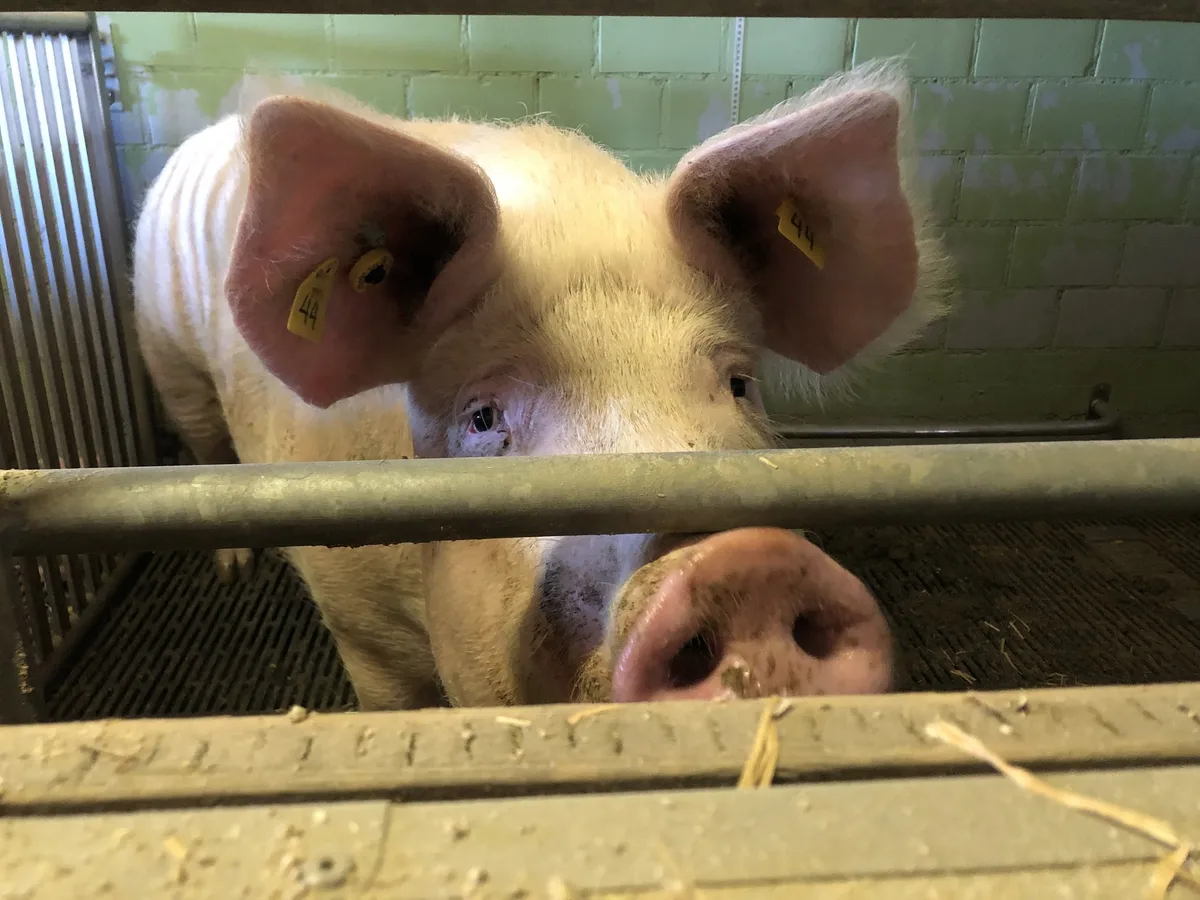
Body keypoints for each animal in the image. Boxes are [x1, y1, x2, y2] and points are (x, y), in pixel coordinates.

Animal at [132, 59, 953, 711]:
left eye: (739, 384)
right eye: (483, 417)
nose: (747, 561)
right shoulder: (357, 620)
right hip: (165, 351)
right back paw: (233, 566)